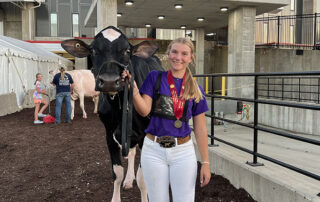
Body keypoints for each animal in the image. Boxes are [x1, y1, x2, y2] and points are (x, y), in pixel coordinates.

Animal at [61, 26, 164, 201]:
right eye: (93, 50)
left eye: (127, 50)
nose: (109, 81)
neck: (119, 107)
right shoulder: (110, 134)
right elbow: (117, 173)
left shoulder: (144, 134)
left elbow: (143, 178)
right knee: (131, 152)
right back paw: (129, 180)